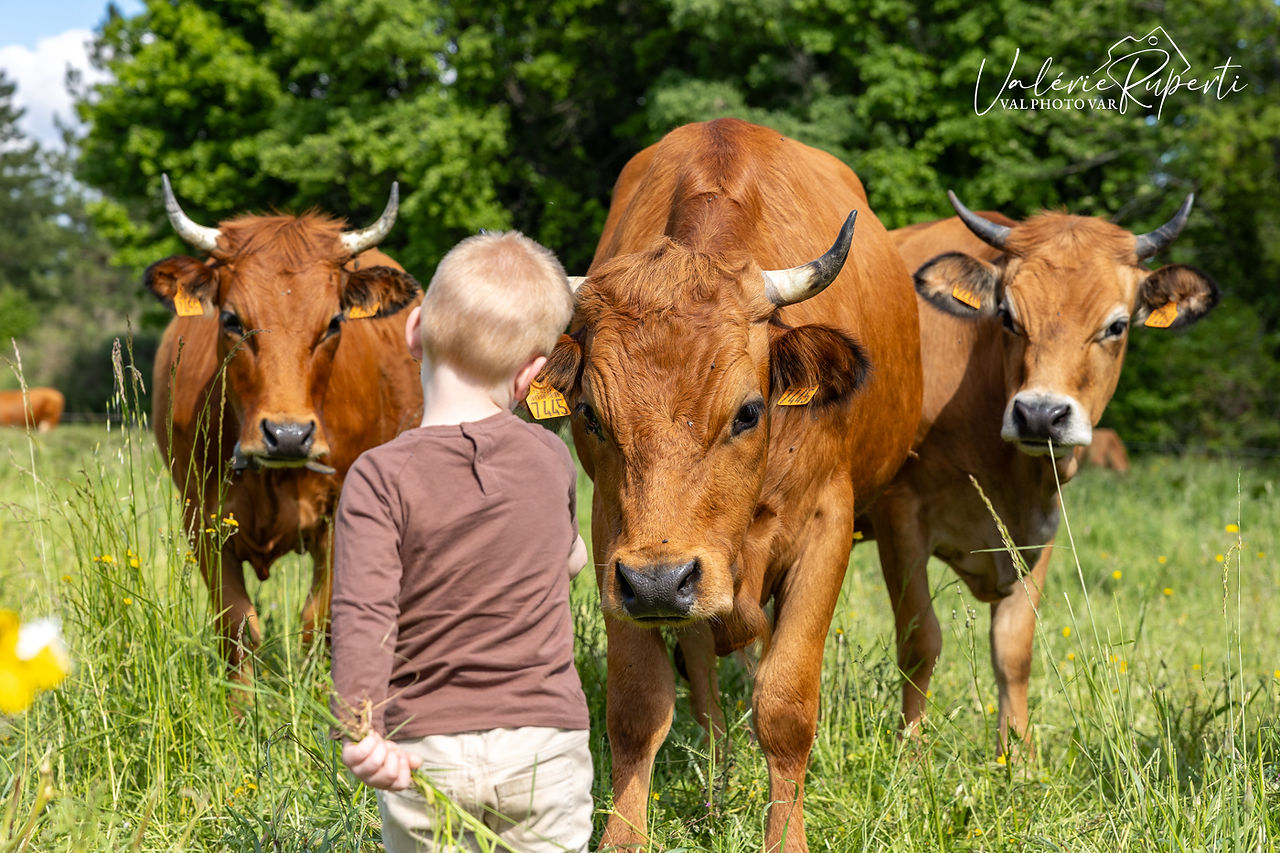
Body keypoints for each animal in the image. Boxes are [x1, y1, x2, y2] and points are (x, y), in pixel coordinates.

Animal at [147, 176, 423, 683]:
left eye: (333, 322)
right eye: (232, 319)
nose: (289, 435)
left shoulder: (341, 517)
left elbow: (321, 622)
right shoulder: (200, 518)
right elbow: (237, 627)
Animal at [536, 118, 923, 852]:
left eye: (748, 410)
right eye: (591, 414)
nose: (660, 582)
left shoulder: (827, 528)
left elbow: (785, 703)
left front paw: (786, 836)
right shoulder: (616, 547)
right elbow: (639, 707)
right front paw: (624, 836)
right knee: (707, 683)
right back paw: (718, 787)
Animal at [866, 192, 1217, 755]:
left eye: (1117, 326)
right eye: (1007, 317)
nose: (1038, 414)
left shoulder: (1042, 522)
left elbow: (1014, 649)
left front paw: (1018, 755)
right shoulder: (899, 513)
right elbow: (921, 641)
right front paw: (911, 754)